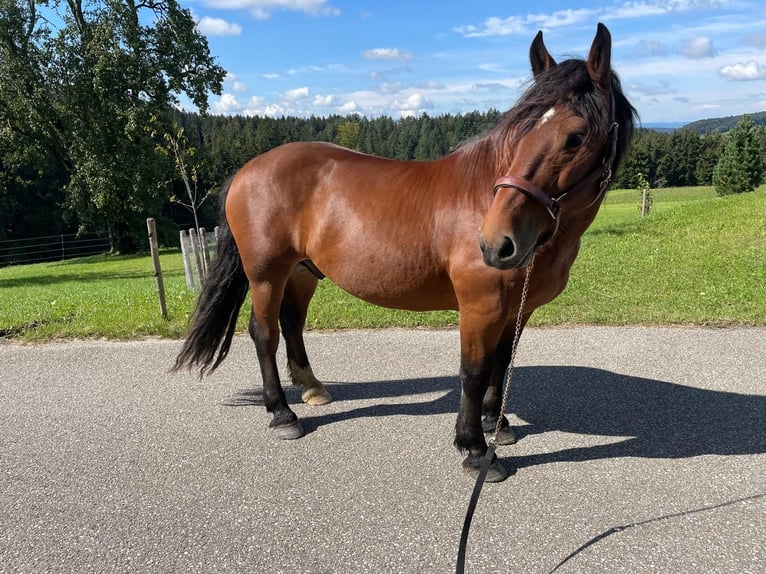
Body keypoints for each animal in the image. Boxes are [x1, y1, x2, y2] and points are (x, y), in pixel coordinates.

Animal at [174, 23, 637, 482]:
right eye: (519, 131)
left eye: (576, 137)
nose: (496, 243)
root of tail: (247, 170)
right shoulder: (481, 305)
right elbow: (474, 370)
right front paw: (474, 449)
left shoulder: (519, 309)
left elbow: (502, 363)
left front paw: (497, 424)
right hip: (266, 274)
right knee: (264, 332)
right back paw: (282, 414)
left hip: (303, 272)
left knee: (291, 324)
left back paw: (312, 389)